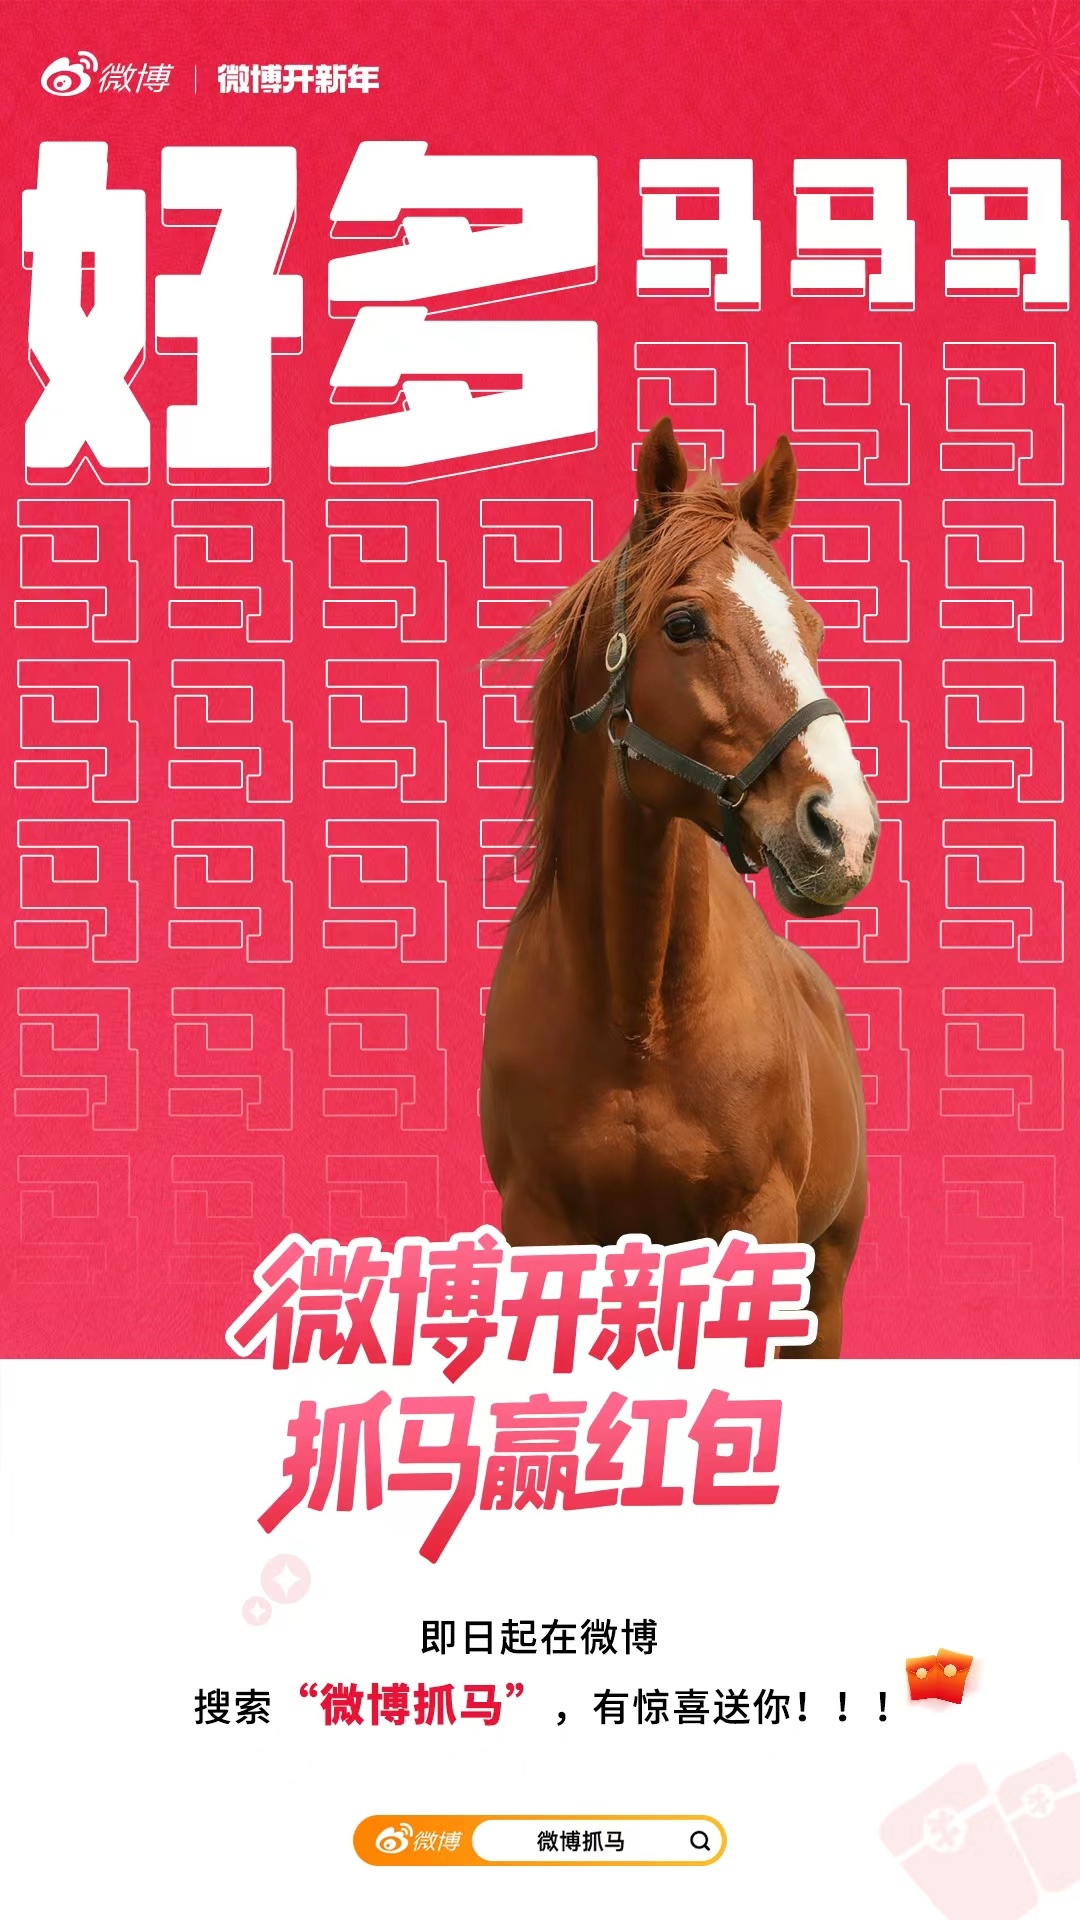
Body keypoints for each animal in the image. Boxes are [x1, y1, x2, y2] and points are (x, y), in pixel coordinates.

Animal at [480, 419, 880, 1356]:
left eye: (809, 625)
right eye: (685, 623)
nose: (842, 830)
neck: (639, 1018)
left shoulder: (758, 1231)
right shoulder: (542, 1232)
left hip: (826, 1283)